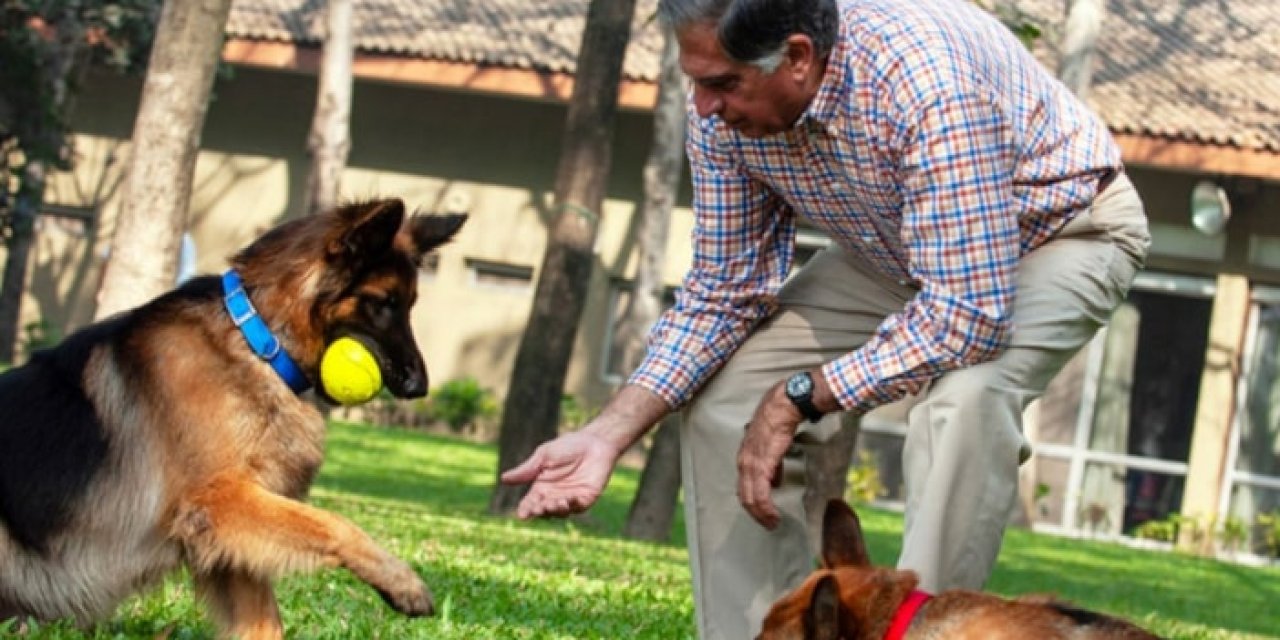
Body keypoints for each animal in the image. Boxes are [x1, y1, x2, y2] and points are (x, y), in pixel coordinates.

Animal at [0, 197, 468, 637]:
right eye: (384, 303)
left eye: (407, 305)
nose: (419, 387)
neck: (258, 341)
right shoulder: (221, 499)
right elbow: (333, 522)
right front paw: (402, 581)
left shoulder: (231, 535)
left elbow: (265, 624)